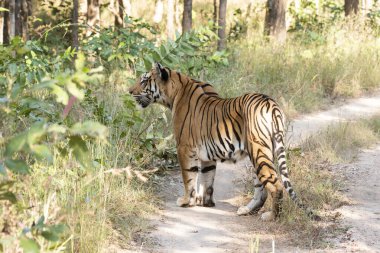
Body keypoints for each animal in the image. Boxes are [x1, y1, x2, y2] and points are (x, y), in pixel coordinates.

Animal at [129, 62, 320, 220]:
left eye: (144, 80)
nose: (129, 91)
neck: (174, 93)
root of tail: (270, 103)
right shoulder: (206, 155)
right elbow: (207, 178)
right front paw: (205, 202)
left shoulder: (184, 147)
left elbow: (188, 177)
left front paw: (185, 201)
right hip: (262, 153)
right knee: (261, 189)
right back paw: (246, 210)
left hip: (258, 151)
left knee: (275, 185)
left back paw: (271, 216)